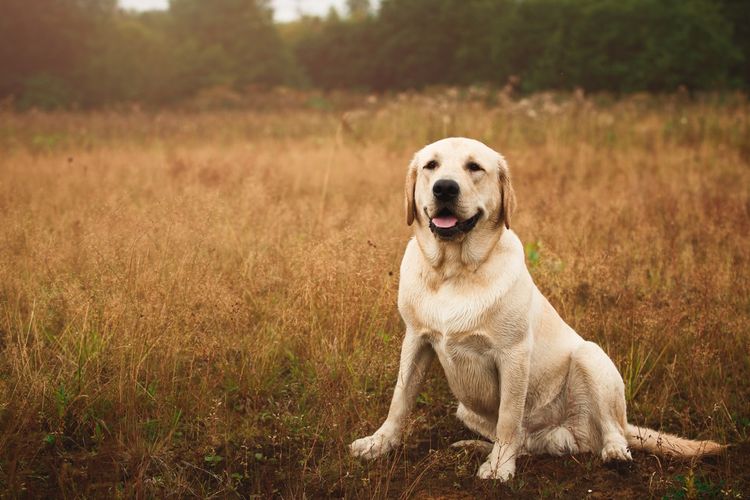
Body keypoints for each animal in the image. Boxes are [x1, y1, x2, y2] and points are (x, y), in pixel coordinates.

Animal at [350, 137, 724, 480]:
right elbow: (400, 399)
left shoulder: (513, 354)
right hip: (465, 409)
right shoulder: (416, 340)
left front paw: (499, 468)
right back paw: (477, 447)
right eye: (431, 165)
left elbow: (509, 418)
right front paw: (379, 443)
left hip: (590, 356)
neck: (454, 272)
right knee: (526, 444)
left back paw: (615, 452)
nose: (444, 188)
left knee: (608, 429)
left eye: (474, 167)